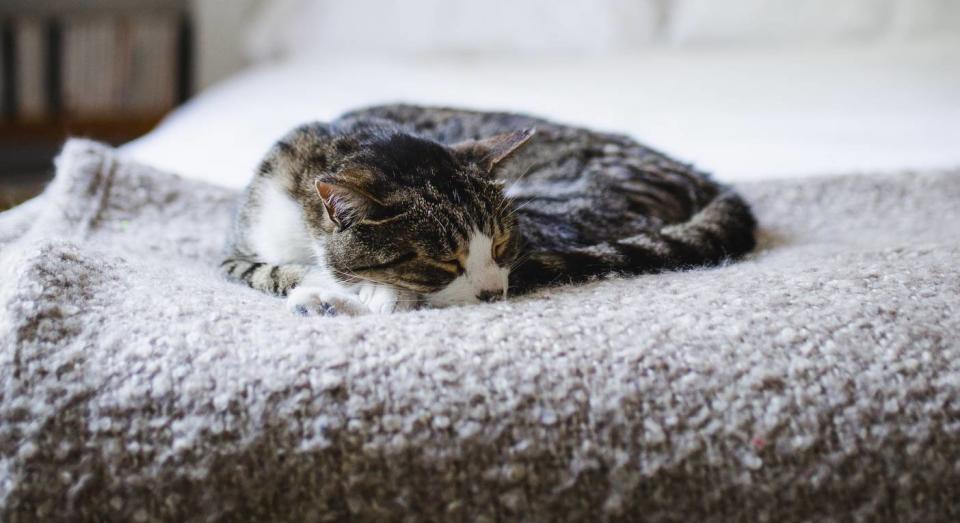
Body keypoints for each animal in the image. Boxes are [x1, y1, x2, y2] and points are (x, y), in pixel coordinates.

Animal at [221, 103, 752, 316]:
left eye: (500, 245)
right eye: (442, 262)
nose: (495, 293)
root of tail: (705, 178)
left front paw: (362, 296)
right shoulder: (235, 251)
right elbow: (269, 270)